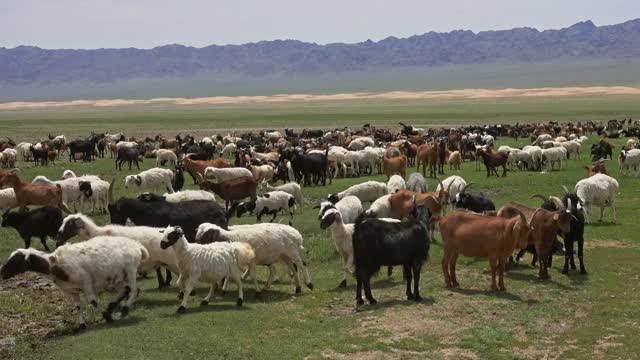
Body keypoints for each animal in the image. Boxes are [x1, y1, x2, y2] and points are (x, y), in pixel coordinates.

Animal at [0, 236, 148, 330]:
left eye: (15, 261)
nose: (1, 273)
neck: (55, 264)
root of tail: (138, 246)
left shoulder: (86, 283)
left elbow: (93, 302)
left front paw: (106, 317)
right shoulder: (71, 290)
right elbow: (77, 306)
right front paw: (82, 325)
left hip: (130, 269)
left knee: (134, 290)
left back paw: (124, 309)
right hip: (117, 277)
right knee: (126, 290)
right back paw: (113, 307)